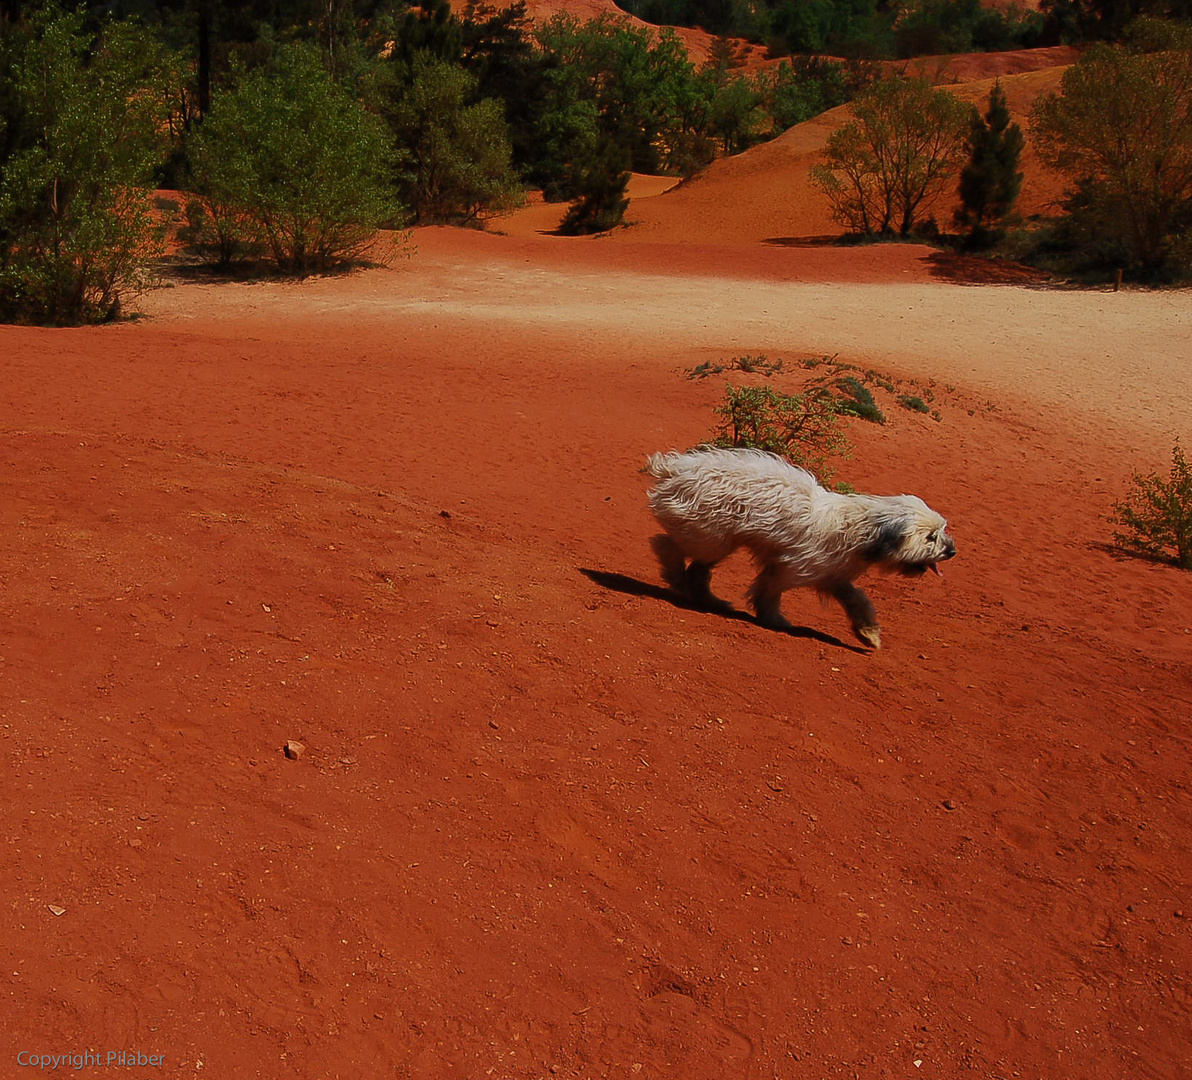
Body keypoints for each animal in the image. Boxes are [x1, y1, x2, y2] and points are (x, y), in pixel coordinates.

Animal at [648, 441, 953, 643]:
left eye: (941, 532)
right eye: (931, 537)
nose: (952, 550)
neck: (863, 530)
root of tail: (674, 468)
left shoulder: (832, 574)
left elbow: (857, 598)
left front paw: (868, 631)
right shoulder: (791, 568)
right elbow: (769, 591)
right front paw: (774, 619)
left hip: (715, 538)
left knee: (698, 569)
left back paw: (708, 599)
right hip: (710, 535)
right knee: (666, 545)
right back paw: (677, 578)